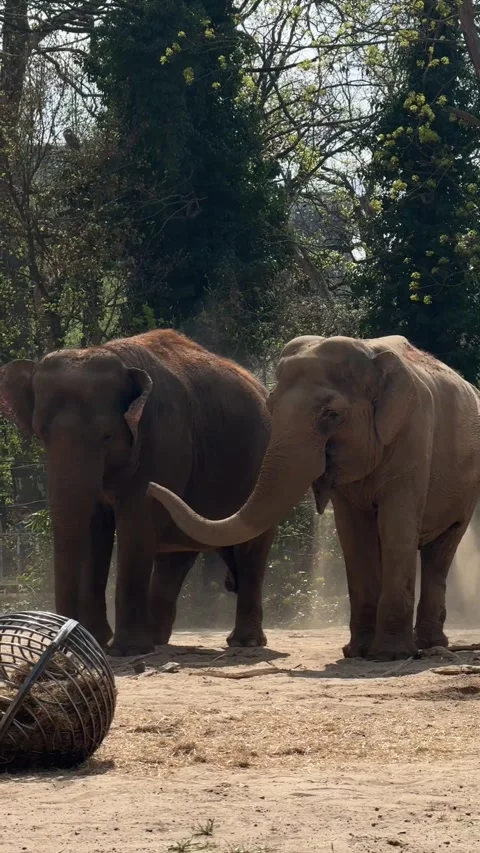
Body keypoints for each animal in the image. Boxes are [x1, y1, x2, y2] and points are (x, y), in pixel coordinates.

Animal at [0, 330, 275, 655]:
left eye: (107, 436)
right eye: (41, 433)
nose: (62, 640)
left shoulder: (162, 439)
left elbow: (136, 525)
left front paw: (126, 649)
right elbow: (95, 530)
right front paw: (96, 638)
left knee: (251, 549)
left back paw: (244, 642)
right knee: (177, 556)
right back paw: (157, 639)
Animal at [148, 334, 480, 661]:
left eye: (331, 414)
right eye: (270, 407)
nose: (151, 487)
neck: (370, 355)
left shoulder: (413, 435)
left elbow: (396, 526)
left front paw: (390, 655)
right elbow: (353, 535)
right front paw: (358, 653)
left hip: (467, 489)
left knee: (442, 549)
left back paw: (429, 644)